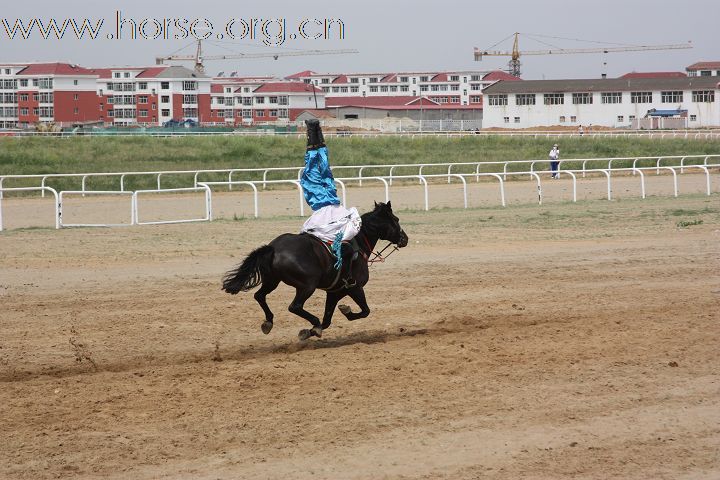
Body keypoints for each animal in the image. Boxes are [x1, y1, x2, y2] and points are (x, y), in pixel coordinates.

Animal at [222, 202, 408, 342]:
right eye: (396, 219)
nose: (405, 238)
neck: (359, 243)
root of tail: (273, 248)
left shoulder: (334, 292)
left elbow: (328, 320)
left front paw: (309, 331)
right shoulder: (354, 288)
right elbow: (364, 311)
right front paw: (344, 312)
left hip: (272, 281)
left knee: (259, 296)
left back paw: (268, 322)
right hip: (307, 286)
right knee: (294, 306)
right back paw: (312, 322)